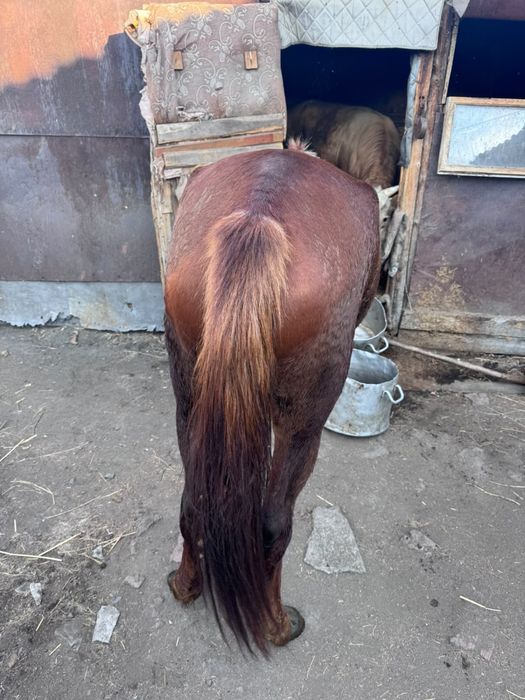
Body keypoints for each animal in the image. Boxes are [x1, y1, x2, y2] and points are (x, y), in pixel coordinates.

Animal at [163, 145, 380, 653]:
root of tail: (257, 221)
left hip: (189, 400)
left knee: (193, 502)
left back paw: (186, 585)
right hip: (303, 426)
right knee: (273, 523)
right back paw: (277, 624)